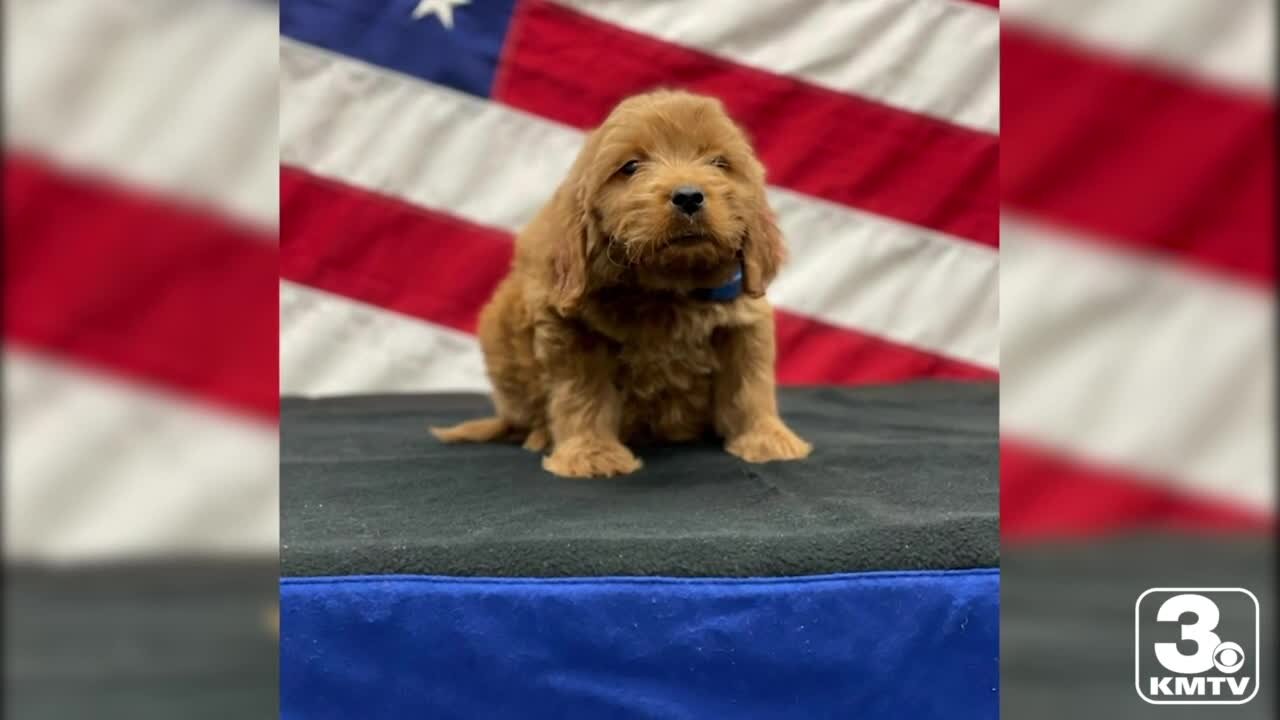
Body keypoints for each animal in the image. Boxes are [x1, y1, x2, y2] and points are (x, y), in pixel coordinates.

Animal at [430, 88, 808, 476]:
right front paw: (592, 453)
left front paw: (765, 438)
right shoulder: (571, 328)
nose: (689, 196)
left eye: (719, 163)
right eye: (631, 167)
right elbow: (584, 393)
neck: (667, 288)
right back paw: (539, 435)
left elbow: (749, 385)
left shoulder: (743, 323)